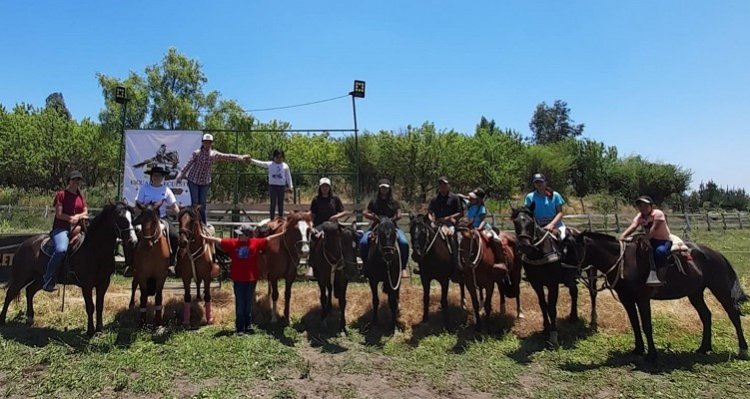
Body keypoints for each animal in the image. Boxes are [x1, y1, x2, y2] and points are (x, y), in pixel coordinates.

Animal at [0, 203, 138, 338]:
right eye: (120, 218)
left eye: (132, 218)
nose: (133, 241)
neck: (95, 249)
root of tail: (24, 245)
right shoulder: (86, 285)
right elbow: (90, 307)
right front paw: (90, 331)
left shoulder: (104, 283)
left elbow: (100, 306)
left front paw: (99, 330)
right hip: (22, 277)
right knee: (10, 294)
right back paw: (2, 319)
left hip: (41, 279)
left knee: (29, 291)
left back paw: (30, 318)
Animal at [576, 233, 748, 364]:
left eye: (571, 246)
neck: (624, 262)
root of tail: (717, 254)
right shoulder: (627, 299)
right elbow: (635, 324)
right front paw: (638, 350)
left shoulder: (642, 299)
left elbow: (646, 326)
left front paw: (651, 355)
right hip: (695, 293)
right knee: (706, 315)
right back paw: (704, 348)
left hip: (720, 289)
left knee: (733, 315)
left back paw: (743, 350)